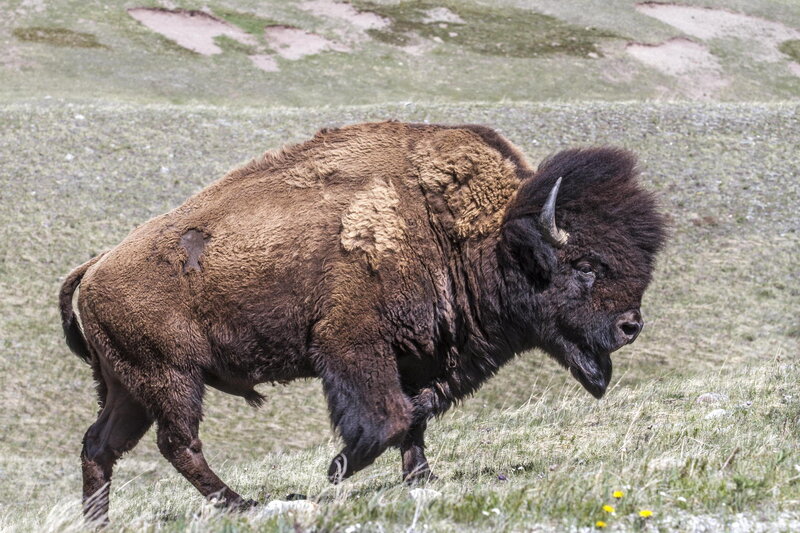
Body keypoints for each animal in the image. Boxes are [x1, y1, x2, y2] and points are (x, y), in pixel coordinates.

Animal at [59, 121, 666, 521]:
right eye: (583, 264)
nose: (629, 326)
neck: (467, 233)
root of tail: (95, 266)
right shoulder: (352, 345)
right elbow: (389, 416)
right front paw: (338, 467)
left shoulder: (425, 357)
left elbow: (417, 415)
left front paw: (421, 479)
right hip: (171, 378)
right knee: (177, 443)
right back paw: (240, 504)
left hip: (127, 388)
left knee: (100, 445)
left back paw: (99, 520)